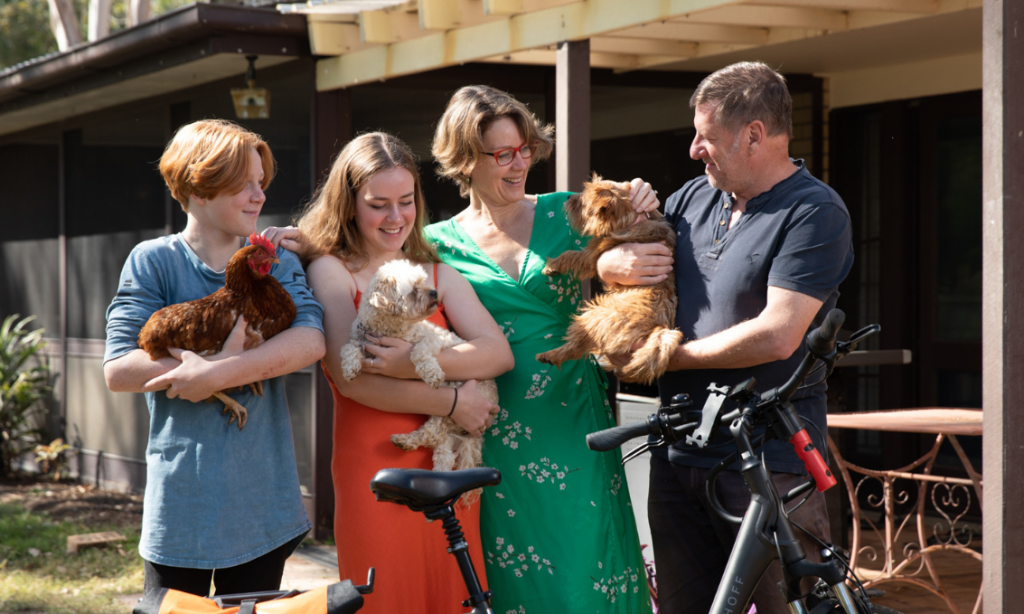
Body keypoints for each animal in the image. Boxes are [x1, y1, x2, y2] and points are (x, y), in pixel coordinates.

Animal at [342, 260, 497, 491]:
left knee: (432, 434)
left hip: (451, 407)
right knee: (442, 452)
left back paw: (407, 442)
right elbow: (348, 347)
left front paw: (432, 374)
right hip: (447, 427)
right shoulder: (360, 338)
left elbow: (418, 352)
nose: (434, 291)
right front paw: (349, 366)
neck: (389, 330)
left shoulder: (433, 339)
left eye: (423, 282)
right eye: (413, 290)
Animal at [536, 173, 679, 384]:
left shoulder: (592, 255)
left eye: (582, 201)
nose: (568, 197)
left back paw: (551, 355)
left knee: (577, 347)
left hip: (594, 315)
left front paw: (552, 265)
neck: (630, 219)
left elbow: (571, 254)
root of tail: (658, 327)